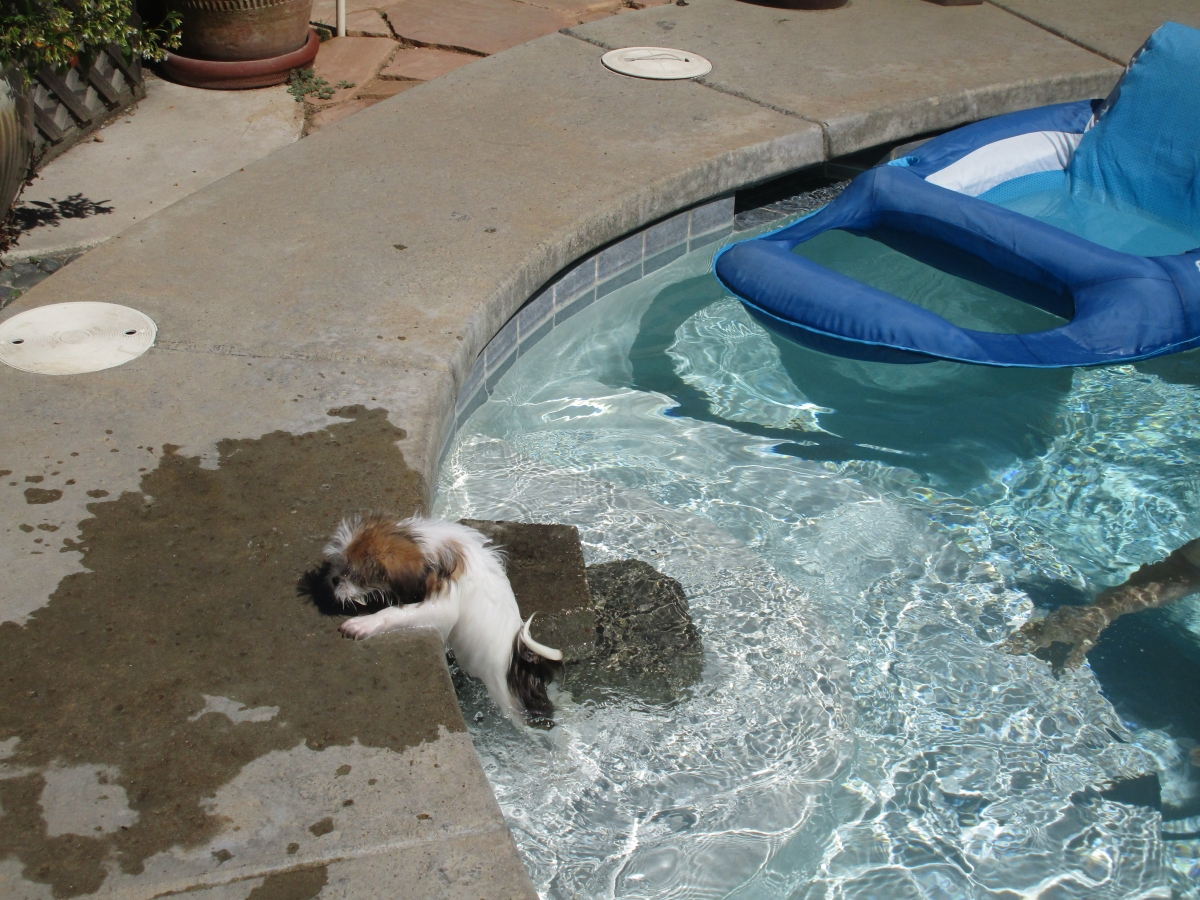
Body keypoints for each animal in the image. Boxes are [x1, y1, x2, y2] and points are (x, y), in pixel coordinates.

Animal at [325, 514, 564, 718]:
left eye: (353, 574)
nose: (334, 580)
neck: (427, 545)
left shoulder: (442, 604)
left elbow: (394, 613)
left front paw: (363, 623)